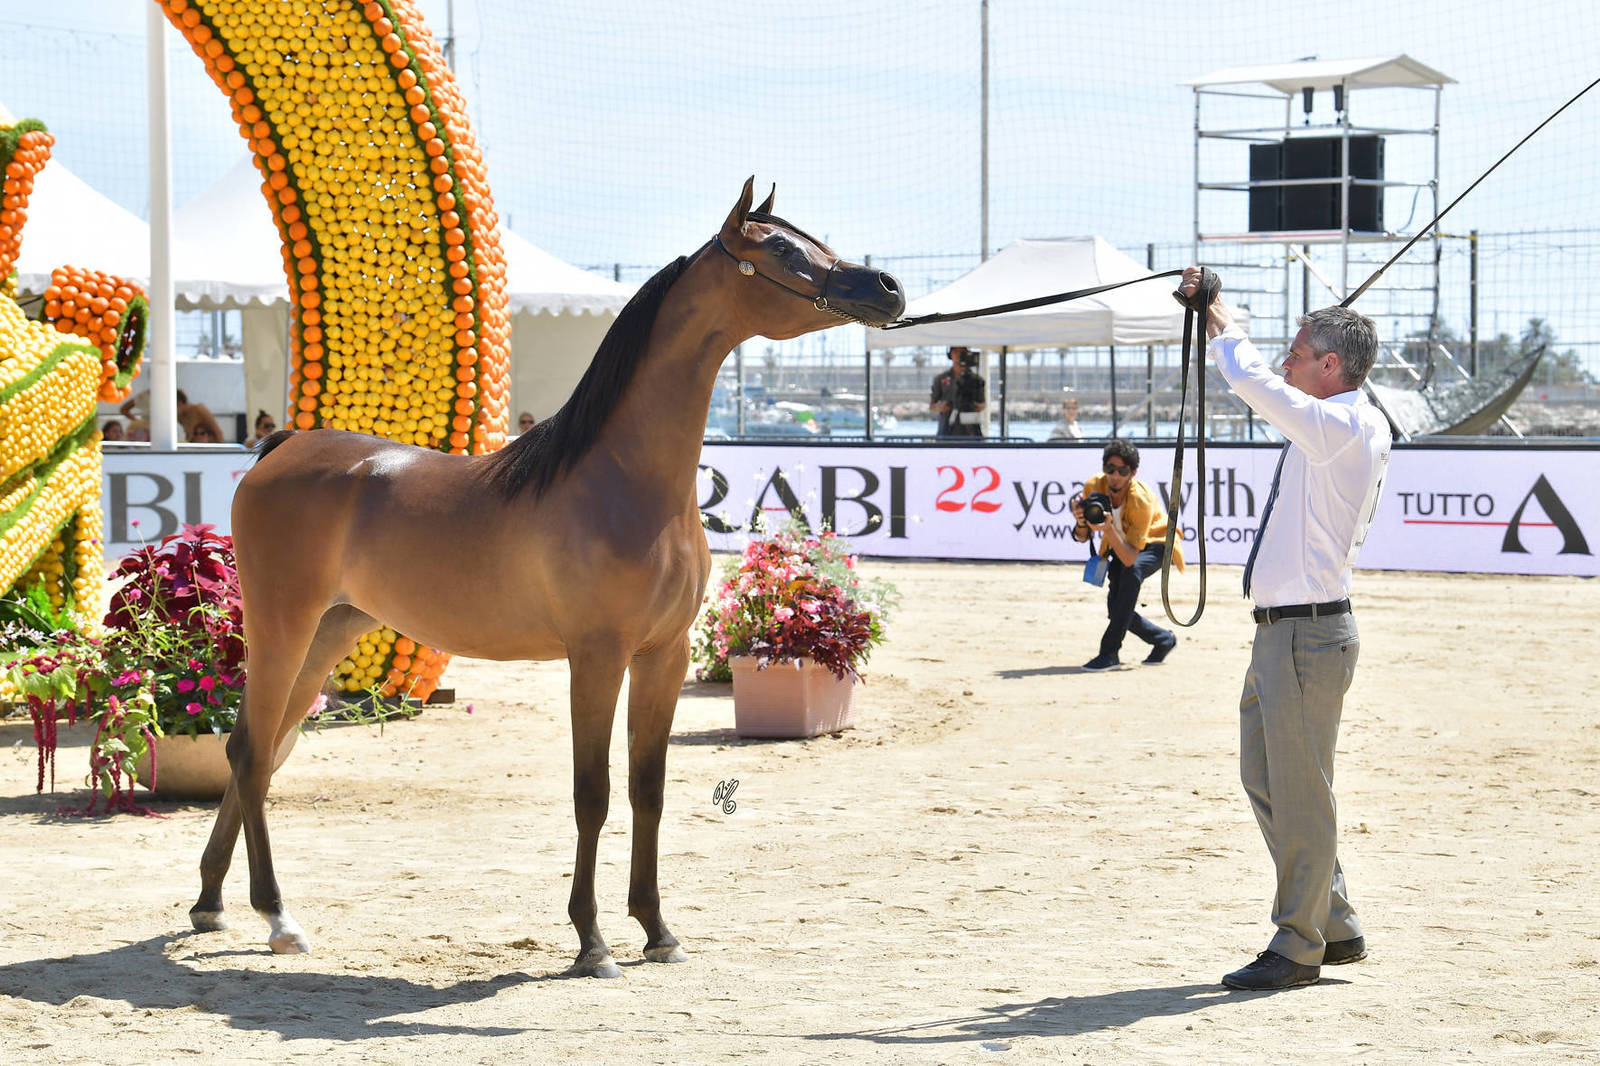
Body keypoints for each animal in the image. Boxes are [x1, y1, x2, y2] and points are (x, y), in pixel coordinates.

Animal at [189, 178, 905, 977]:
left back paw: (211, 903)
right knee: (253, 751)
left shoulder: (662, 655)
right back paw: (277, 917)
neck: (624, 482)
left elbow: (647, 790)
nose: (887, 288)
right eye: (779, 248)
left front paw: (657, 930)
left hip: (331, 632)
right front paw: (592, 942)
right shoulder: (596, 657)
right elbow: (593, 794)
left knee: (257, 751)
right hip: (282, 624)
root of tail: (279, 448)